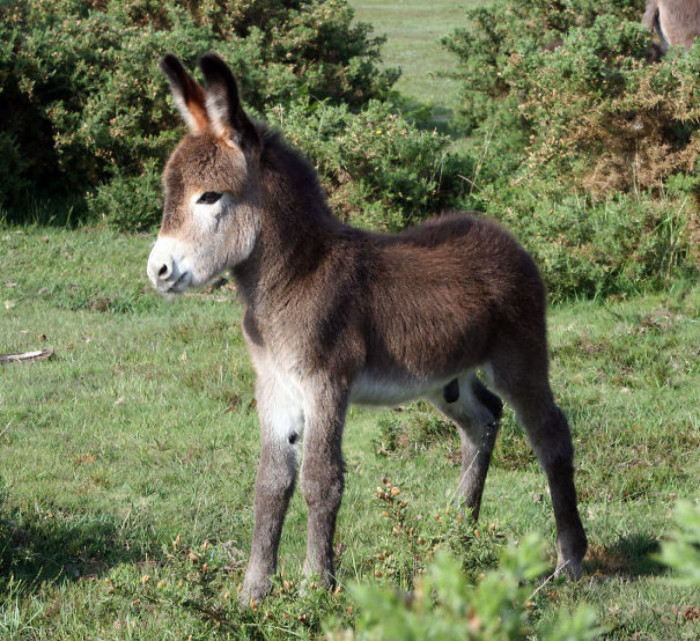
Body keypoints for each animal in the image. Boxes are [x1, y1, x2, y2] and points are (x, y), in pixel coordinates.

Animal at [149, 52, 592, 604]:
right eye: (170, 194)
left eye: (210, 197)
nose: (157, 271)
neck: (296, 274)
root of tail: (503, 234)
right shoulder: (273, 384)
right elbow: (271, 482)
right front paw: (253, 593)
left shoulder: (326, 383)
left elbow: (320, 479)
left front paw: (315, 589)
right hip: (445, 379)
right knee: (483, 420)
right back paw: (457, 537)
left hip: (520, 358)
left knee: (550, 434)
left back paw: (569, 560)